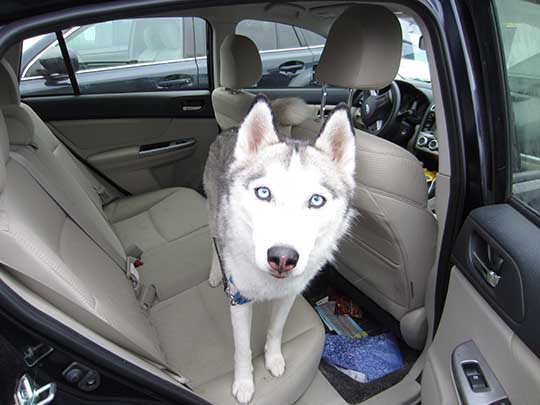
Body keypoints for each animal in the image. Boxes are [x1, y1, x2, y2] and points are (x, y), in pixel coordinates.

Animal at [202, 94, 354, 400]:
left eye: (316, 200)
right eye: (264, 192)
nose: (282, 258)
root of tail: (232, 128)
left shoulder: (289, 296)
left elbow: (276, 330)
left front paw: (273, 359)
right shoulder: (238, 299)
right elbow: (242, 349)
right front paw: (244, 382)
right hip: (213, 215)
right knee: (214, 243)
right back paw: (214, 272)